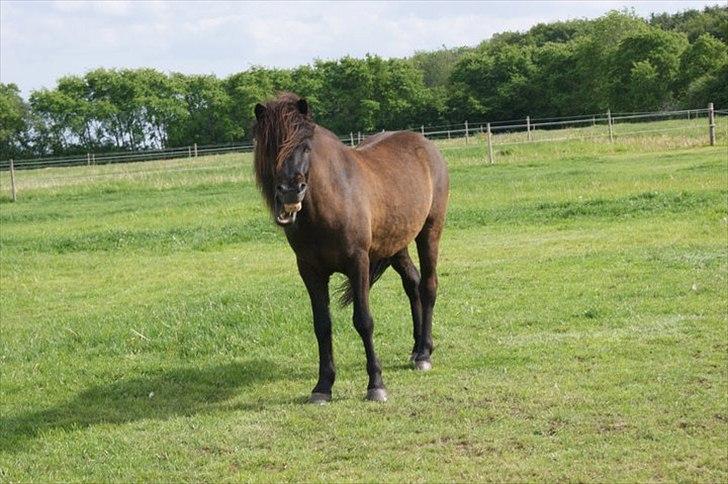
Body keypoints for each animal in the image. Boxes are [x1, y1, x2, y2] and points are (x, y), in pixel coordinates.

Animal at [255, 92, 450, 402]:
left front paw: (376, 385)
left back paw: (424, 356)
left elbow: (363, 321)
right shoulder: (310, 271)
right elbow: (322, 325)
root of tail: (426, 146)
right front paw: (322, 387)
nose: (290, 192)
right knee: (413, 283)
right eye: (269, 146)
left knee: (428, 285)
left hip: (429, 231)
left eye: (305, 146)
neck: (331, 200)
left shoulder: (358, 263)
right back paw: (417, 348)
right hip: (397, 245)